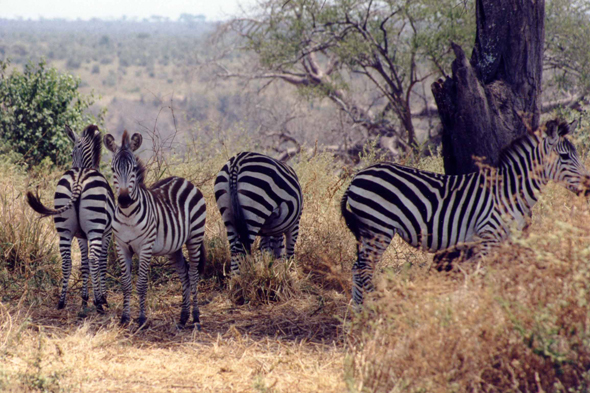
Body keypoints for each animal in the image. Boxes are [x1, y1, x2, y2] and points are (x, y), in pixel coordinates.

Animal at [26, 124, 115, 310]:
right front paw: (102, 297)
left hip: (64, 229)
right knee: (94, 260)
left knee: (67, 261)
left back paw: (61, 301)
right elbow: (101, 263)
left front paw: (84, 298)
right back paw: (99, 304)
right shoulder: (108, 232)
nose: (72, 162)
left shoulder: (80, 236)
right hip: (95, 228)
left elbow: (83, 263)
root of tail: (79, 179)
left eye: (71, 154)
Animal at [104, 130, 208, 326]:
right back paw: (183, 317)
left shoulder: (145, 247)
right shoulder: (121, 246)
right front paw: (125, 318)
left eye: (133, 169)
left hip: (195, 238)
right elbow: (126, 284)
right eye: (113, 170)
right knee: (184, 275)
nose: (124, 200)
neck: (127, 215)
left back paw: (196, 317)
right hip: (174, 247)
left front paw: (142, 319)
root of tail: (182, 180)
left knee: (193, 274)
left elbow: (141, 284)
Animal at [342, 118, 590, 304]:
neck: (509, 190)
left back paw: (358, 314)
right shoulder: (488, 236)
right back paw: (373, 310)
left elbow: (502, 273)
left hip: (368, 232)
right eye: (564, 157)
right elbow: (482, 275)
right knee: (364, 270)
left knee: (356, 268)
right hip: (379, 228)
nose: (588, 187)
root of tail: (356, 177)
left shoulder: (505, 239)